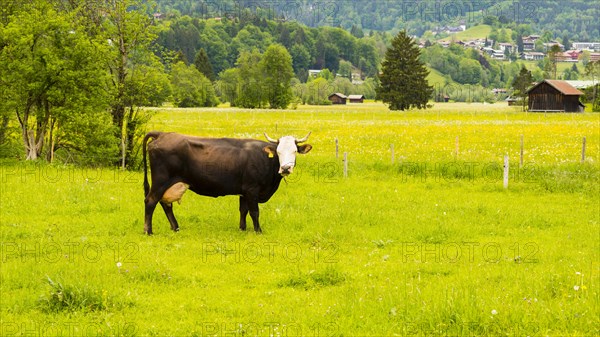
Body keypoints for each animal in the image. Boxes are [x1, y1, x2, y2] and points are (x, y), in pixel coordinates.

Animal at [142, 131, 312, 234]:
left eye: (295, 151)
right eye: (278, 152)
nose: (285, 168)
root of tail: (162, 134)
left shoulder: (244, 191)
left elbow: (243, 210)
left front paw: (242, 229)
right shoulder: (252, 189)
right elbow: (254, 211)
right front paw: (258, 231)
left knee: (165, 204)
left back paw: (175, 227)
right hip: (161, 181)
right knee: (151, 201)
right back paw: (148, 231)